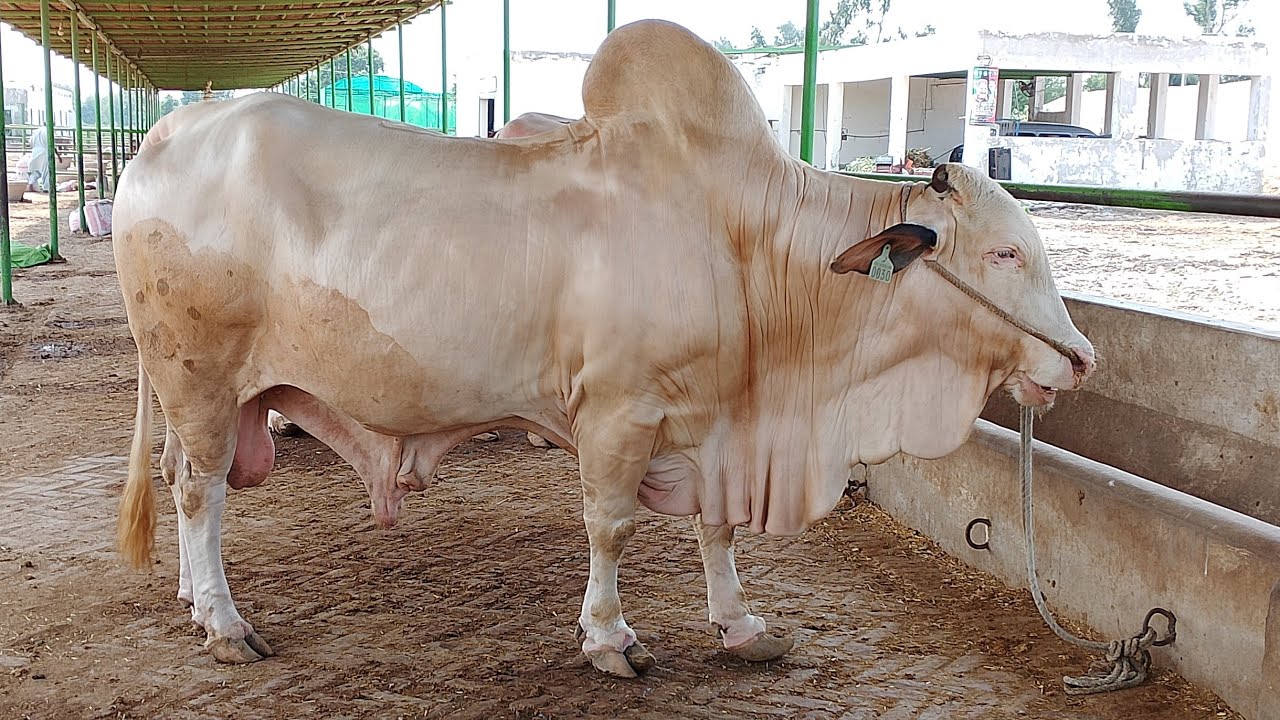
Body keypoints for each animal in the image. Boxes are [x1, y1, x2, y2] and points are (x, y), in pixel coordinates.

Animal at [113, 19, 1094, 679]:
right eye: (1005, 253)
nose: (1082, 359)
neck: (747, 241)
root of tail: (166, 137)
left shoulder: (713, 418)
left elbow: (715, 528)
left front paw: (740, 624)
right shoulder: (623, 411)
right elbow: (611, 526)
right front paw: (611, 637)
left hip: (208, 393)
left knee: (182, 478)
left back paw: (195, 602)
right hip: (199, 377)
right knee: (197, 492)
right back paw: (227, 624)